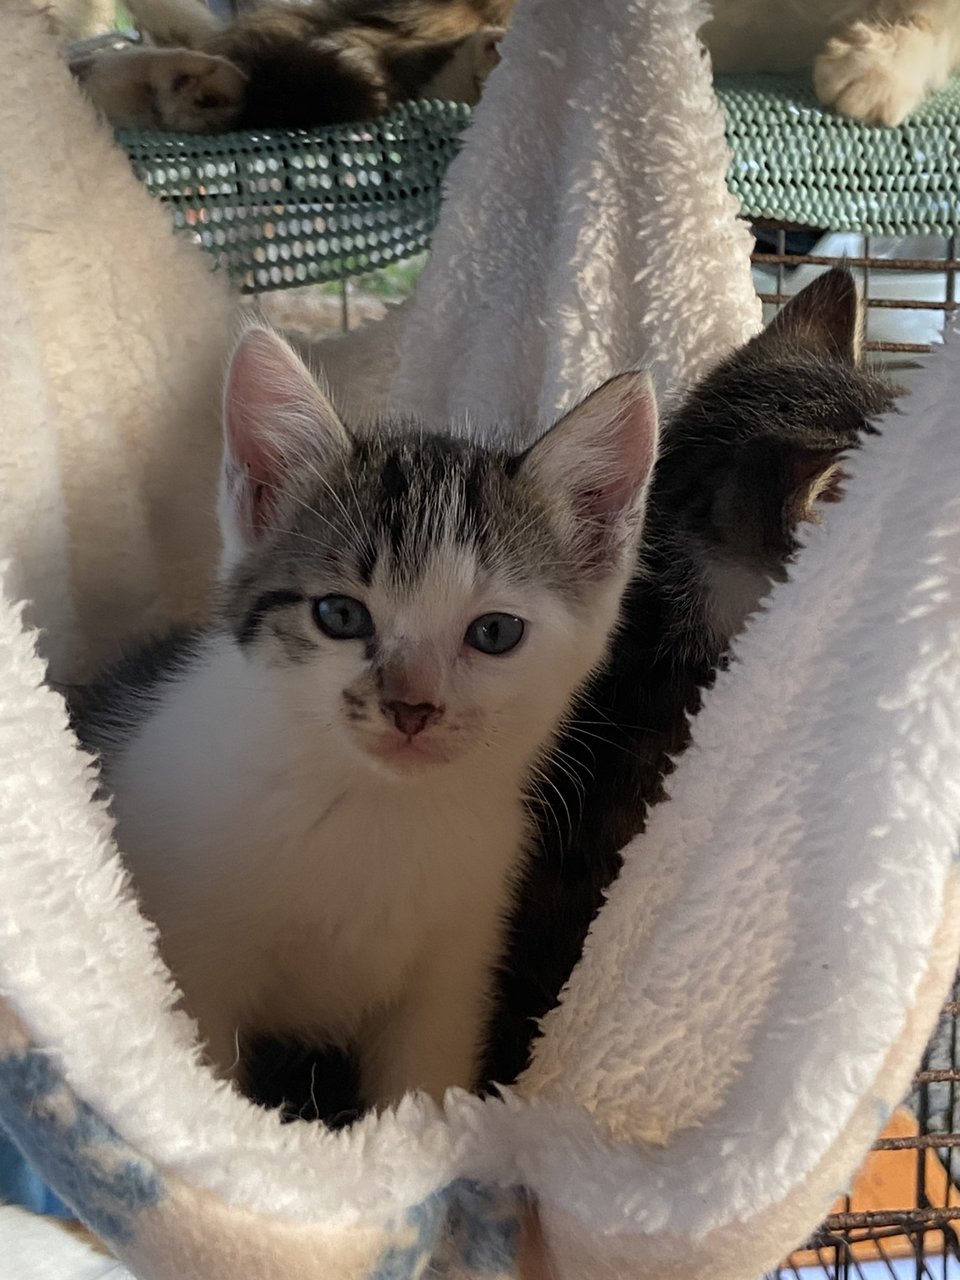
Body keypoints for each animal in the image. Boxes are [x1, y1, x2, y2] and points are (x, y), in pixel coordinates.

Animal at [75, 322, 660, 1111]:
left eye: (495, 632)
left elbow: (419, 1087)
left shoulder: (452, 971)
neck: (378, 808)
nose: (411, 707)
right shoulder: (193, 957)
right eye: (341, 616)